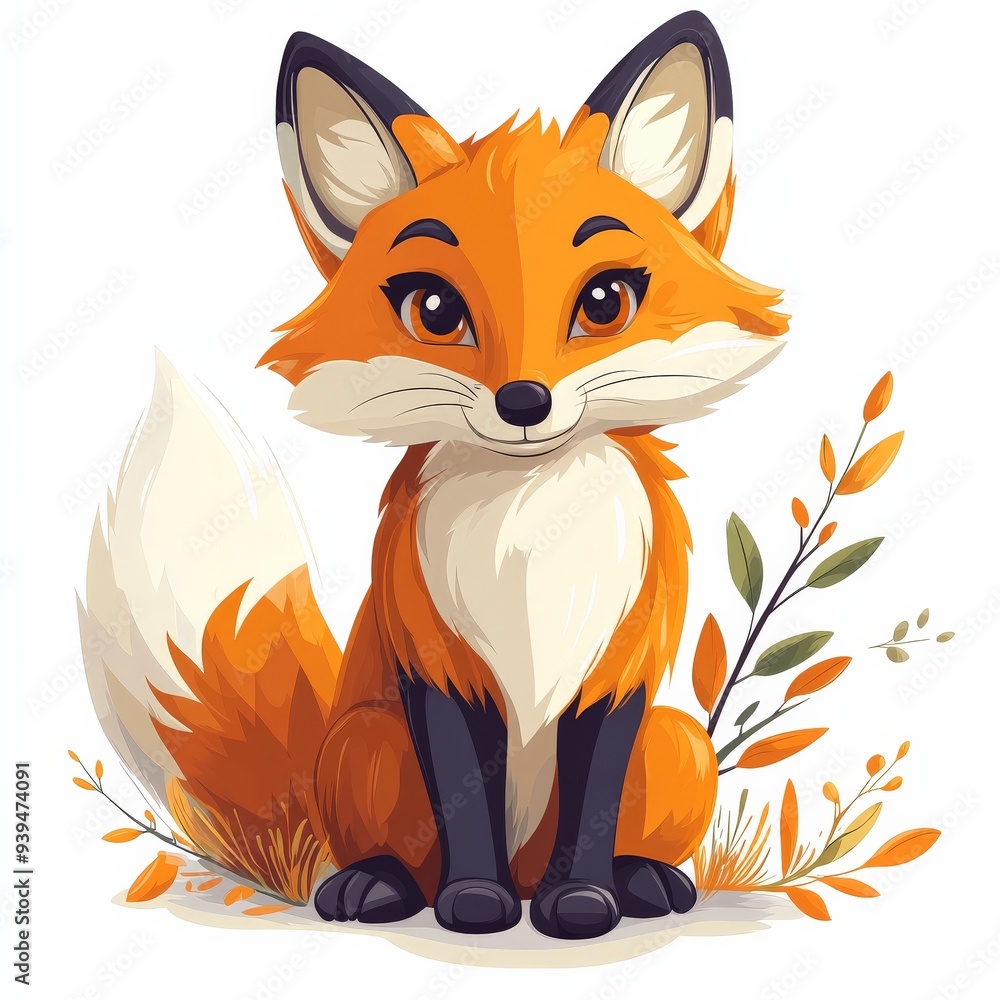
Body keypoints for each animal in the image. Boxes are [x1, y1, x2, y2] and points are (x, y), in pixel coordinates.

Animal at [78, 11, 788, 941]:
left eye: (605, 302)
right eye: (436, 310)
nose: (524, 400)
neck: (530, 533)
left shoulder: (616, 669)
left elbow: (593, 792)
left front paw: (581, 903)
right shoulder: (438, 666)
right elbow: (461, 793)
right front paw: (474, 905)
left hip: (679, 744)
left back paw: (641, 880)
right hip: (365, 743)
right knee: (394, 853)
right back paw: (376, 887)